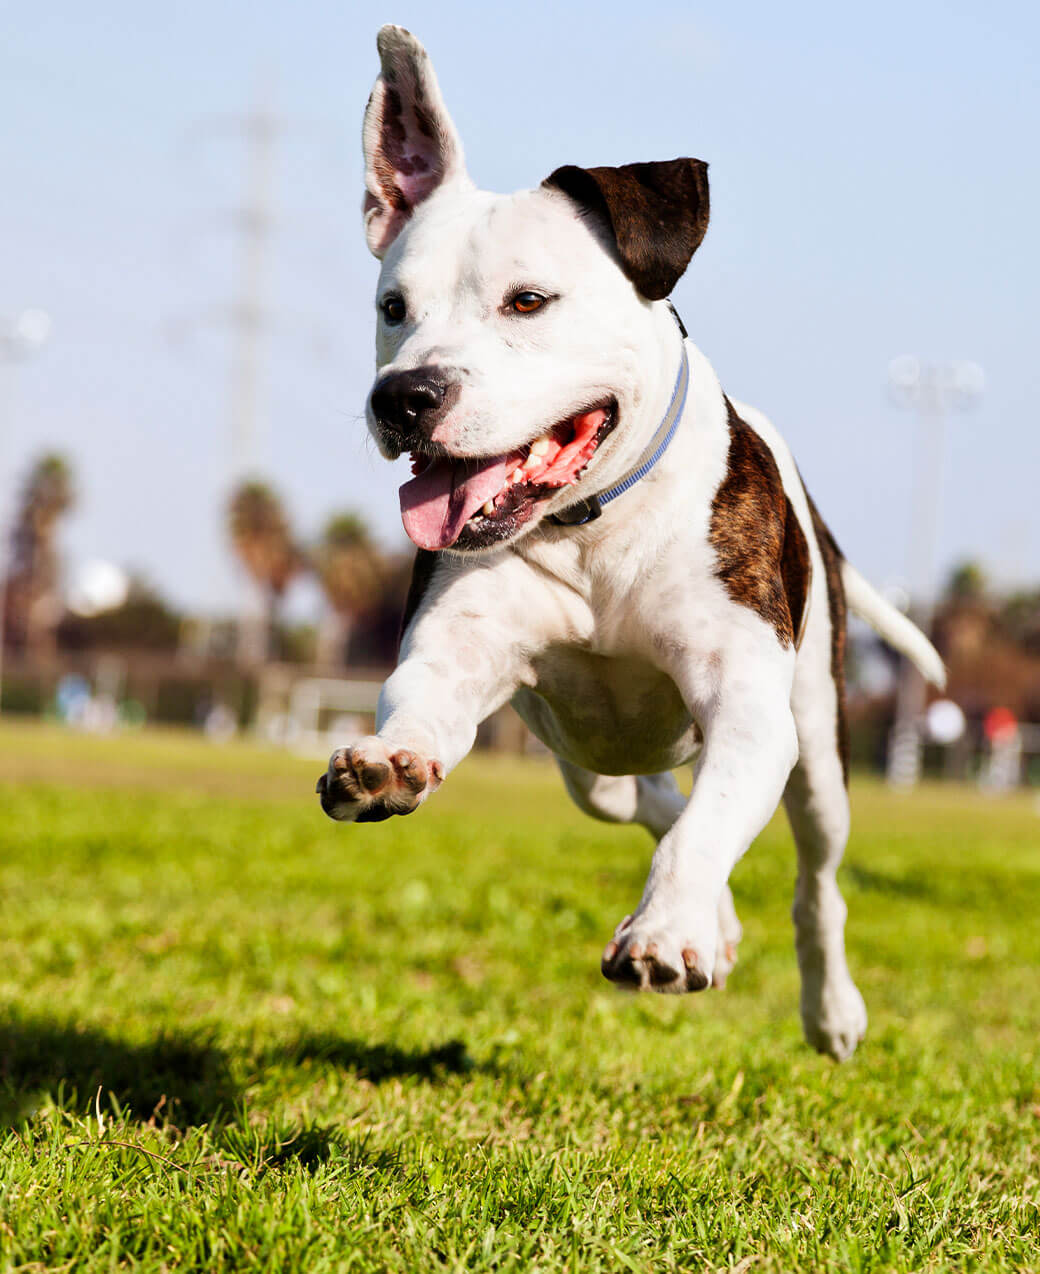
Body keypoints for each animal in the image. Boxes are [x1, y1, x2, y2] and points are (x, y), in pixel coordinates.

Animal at [317, 27, 943, 1065]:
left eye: (528, 301)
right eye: (392, 307)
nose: (403, 397)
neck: (593, 526)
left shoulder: (748, 706)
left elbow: (711, 826)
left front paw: (666, 935)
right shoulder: (457, 650)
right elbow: (425, 704)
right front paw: (389, 763)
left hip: (818, 745)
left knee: (812, 876)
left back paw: (827, 1007)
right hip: (587, 763)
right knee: (646, 802)